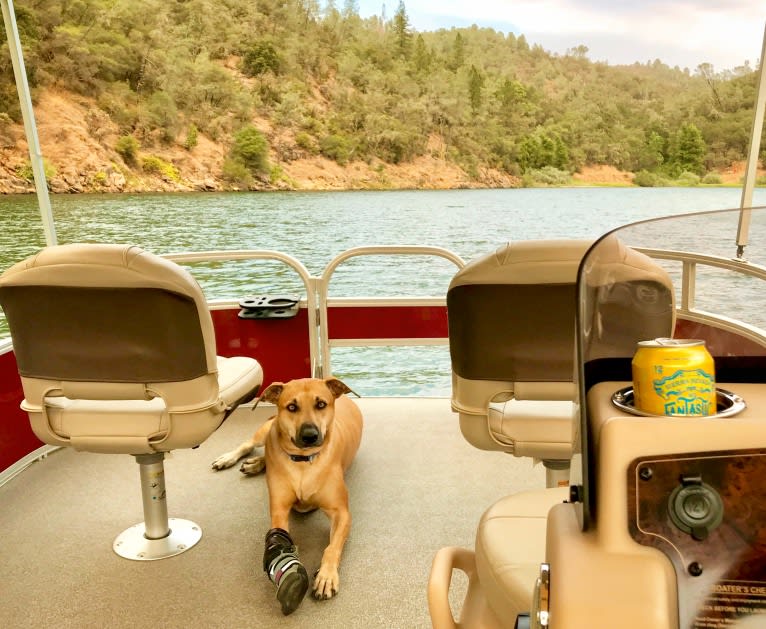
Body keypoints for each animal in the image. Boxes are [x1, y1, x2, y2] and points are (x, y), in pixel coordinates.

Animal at [212, 378, 364, 612]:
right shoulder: (279, 511)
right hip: (266, 430)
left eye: (321, 404)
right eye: (292, 407)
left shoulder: (342, 513)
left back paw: (256, 464)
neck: (302, 462)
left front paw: (327, 575)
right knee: (249, 444)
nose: (309, 436)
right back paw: (231, 459)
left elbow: (332, 547)